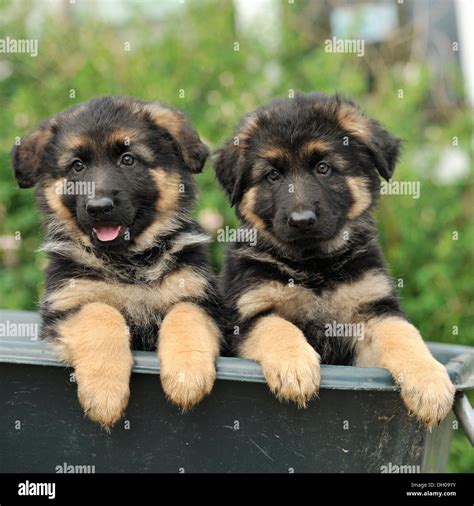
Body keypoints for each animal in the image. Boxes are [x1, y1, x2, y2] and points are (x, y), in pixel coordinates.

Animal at [11, 95, 222, 426]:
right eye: (77, 166)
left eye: (128, 159)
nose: (99, 207)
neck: (129, 261)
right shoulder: (67, 306)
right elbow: (100, 312)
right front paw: (105, 393)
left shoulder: (202, 297)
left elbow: (184, 313)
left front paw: (188, 375)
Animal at [213, 93, 454, 428]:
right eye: (273, 175)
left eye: (323, 168)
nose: (301, 220)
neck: (314, 266)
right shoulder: (246, 316)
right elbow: (276, 326)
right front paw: (295, 366)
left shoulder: (372, 311)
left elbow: (404, 335)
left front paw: (430, 382)